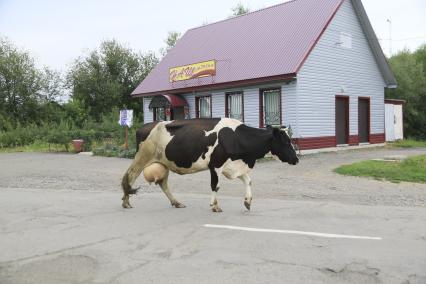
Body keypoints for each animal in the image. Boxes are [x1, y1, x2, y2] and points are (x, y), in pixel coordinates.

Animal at [120, 116, 300, 212]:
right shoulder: (216, 166)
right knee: (129, 176)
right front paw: (215, 206)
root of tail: (145, 125)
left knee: (163, 183)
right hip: (142, 157)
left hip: (164, 162)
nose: (296, 159)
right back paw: (126, 202)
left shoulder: (234, 166)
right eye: (285, 141)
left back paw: (176, 202)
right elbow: (215, 186)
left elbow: (248, 181)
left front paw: (248, 202)